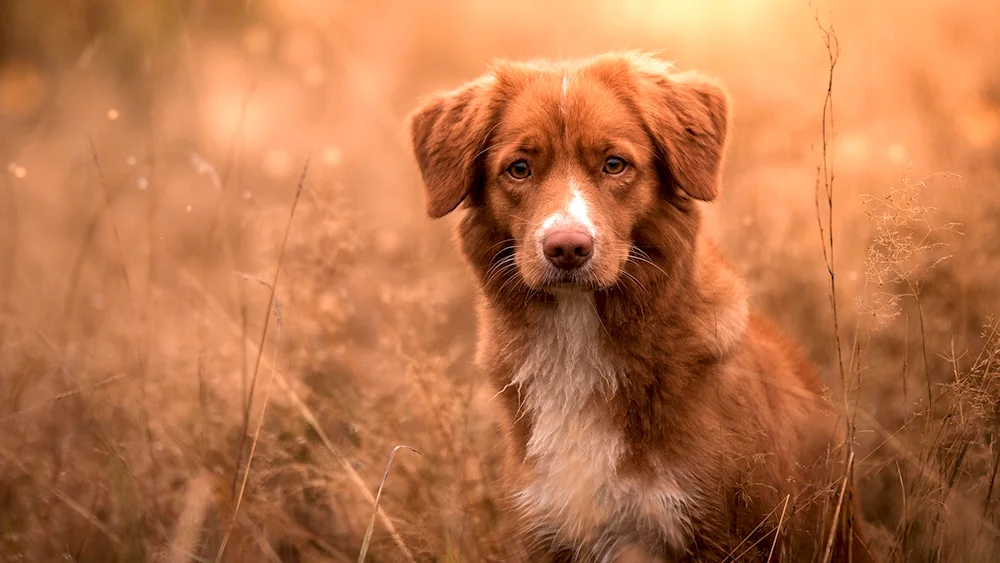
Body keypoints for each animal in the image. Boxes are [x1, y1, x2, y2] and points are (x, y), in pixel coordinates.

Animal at [406, 53, 876, 563]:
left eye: (615, 164)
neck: (578, 337)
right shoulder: (549, 528)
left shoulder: (723, 532)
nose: (567, 249)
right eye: (518, 169)